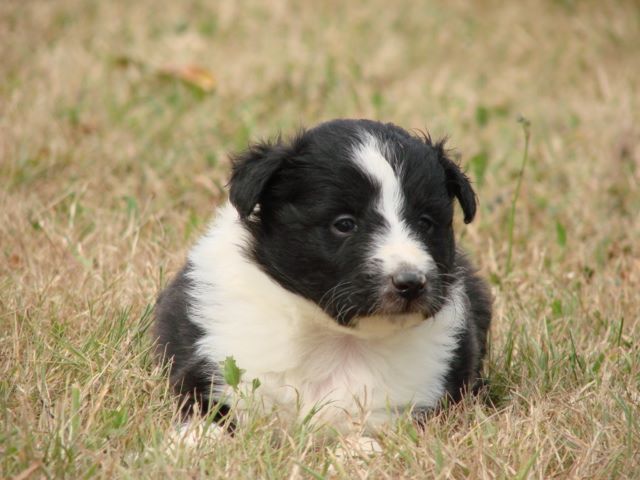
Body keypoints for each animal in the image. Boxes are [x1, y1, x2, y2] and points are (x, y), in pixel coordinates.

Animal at [152, 118, 492, 434]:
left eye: (425, 223)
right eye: (344, 224)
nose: (410, 283)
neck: (336, 339)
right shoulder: (215, 369)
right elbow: (206, 415)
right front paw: (193, 440)